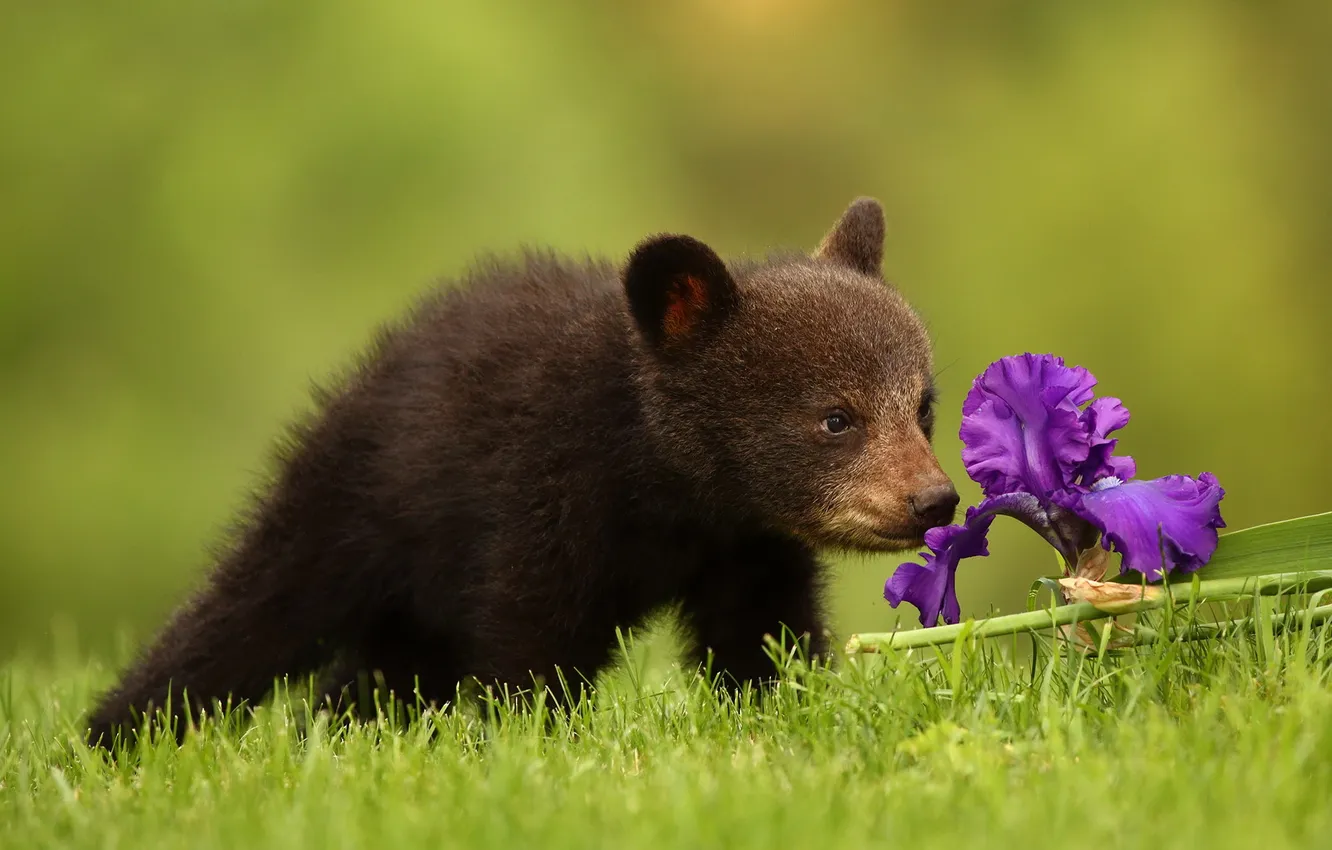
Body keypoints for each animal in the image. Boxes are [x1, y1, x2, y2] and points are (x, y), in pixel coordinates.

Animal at [85, 197, 959, 749]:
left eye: (922, 406)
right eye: (836, 417)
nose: (933, 498)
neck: (667, 487)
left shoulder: (746, 547)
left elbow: (762, 637)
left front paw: (784, 706)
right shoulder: (543, 492)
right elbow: (533, 638)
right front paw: (533, 741)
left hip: (414, 599)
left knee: (372, 676)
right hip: (352, 505)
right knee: (248, 613)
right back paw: (116, 735)